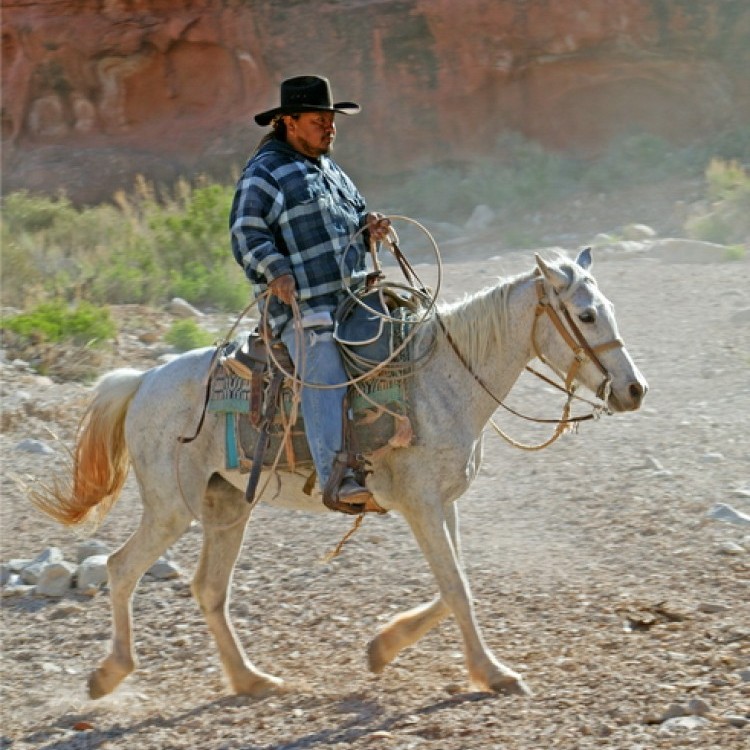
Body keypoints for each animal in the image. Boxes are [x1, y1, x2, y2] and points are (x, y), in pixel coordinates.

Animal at [35, 250, 648, 704]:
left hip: (227, 505)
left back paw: (252, 680)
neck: (441, 379)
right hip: (171, 507)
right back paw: (109, 674)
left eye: (611, 308)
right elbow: (456, 586)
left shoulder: (442, 502)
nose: (634, 389)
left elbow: (455, 584)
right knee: (121, 568)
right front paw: (494, 672)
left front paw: (382, 647)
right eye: (586, 316)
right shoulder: (420, 504)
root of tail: (142, 381)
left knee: (208, 588)